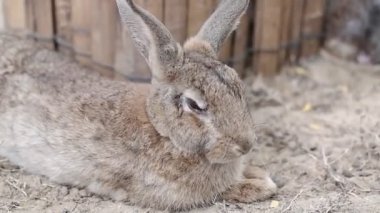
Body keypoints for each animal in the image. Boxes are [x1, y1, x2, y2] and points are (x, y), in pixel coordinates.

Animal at [0, 0, 276, 211]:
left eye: (238, 86)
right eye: (194, 105)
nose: (245, 145)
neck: (163, 133)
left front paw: (259, 173)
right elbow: (223, 191)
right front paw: (262, 185)